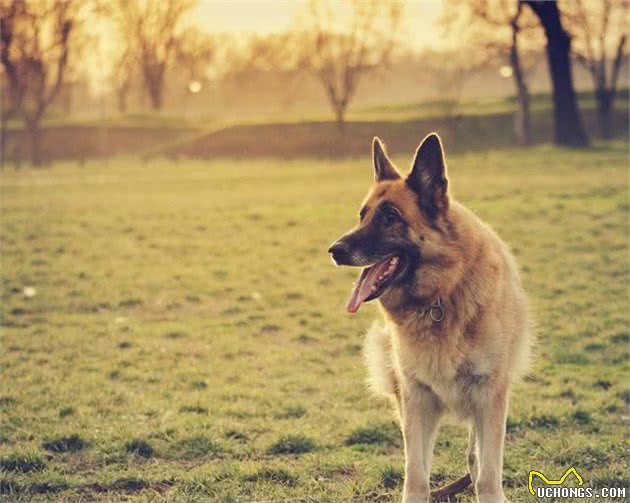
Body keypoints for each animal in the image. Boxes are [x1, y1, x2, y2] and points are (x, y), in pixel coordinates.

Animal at [330, 134, 532, 503]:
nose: (334, 251)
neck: (441, 295)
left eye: (390, 217)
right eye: (362, 215)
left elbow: (488, 476)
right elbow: (416, 476)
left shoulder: (490, 397)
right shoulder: (417, 401)